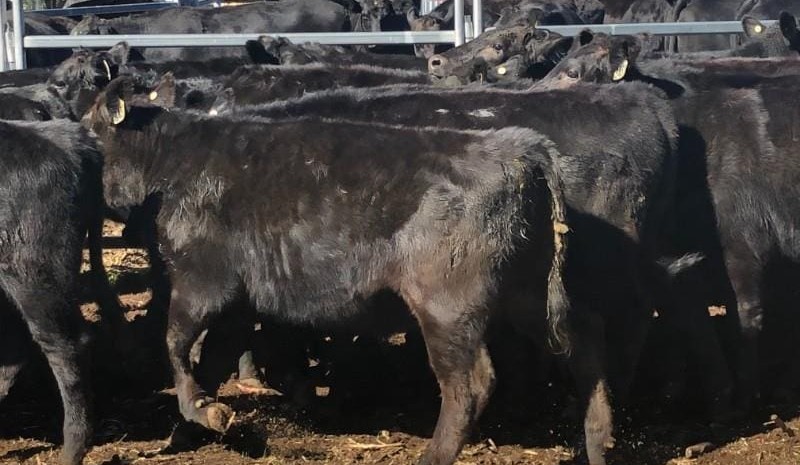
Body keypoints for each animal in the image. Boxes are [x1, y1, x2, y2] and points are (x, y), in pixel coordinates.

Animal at [82, 75, 571, 465]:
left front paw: (200, 412)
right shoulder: (238, 301)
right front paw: (197, 423)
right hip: (527, 300)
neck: (174, 162)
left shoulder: (201, 281)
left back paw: (433, 456)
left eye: (87, 134)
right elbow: (212, 359)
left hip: (447, 310)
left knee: (468, 386)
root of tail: (518, 148)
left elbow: (176, 344)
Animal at [535, 31, 800, 416]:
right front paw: (701, 393)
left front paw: (741, 399)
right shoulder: (680, 256)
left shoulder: (742, 241)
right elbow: (690, 318)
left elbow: (745, 316)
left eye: (572, 72)